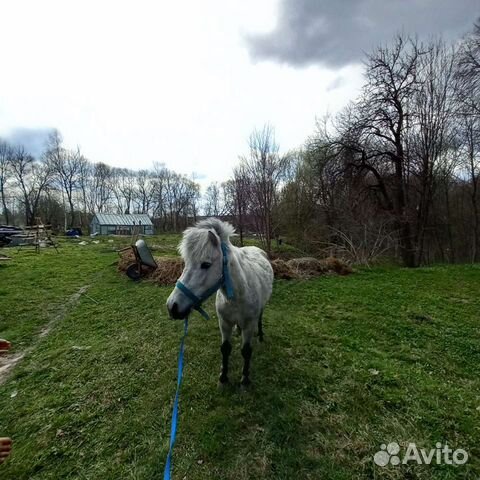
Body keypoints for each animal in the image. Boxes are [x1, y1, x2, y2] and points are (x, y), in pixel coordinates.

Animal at [166, 218, 274, 386]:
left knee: (260, 319)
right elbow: (225, 349)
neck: (237, 295)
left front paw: (245, 379)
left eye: (206, 264)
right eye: (186, 263)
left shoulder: (249, 325)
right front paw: (223, 378)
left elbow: (246, 351)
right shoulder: (224, 323)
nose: (172, 307)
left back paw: (261, 335)